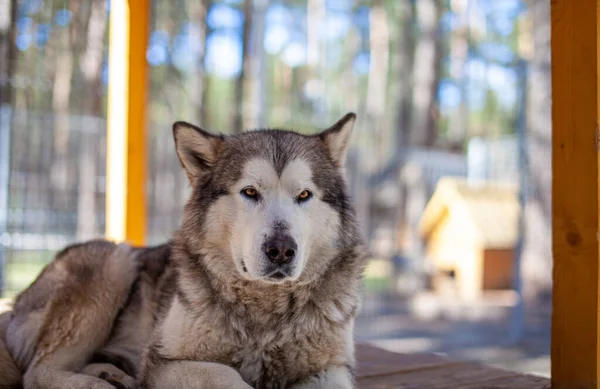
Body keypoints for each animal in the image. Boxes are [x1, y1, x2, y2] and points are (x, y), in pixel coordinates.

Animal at [1, 112, 366, 388]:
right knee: (38, 372)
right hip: (114, 262)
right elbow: (226, 375)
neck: (266, 314)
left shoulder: (332, 369)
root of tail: (16, 305)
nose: (281, 250)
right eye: (250, 192)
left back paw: (113, 375)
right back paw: (97, 385)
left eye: (304, 195)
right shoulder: (165, 360)